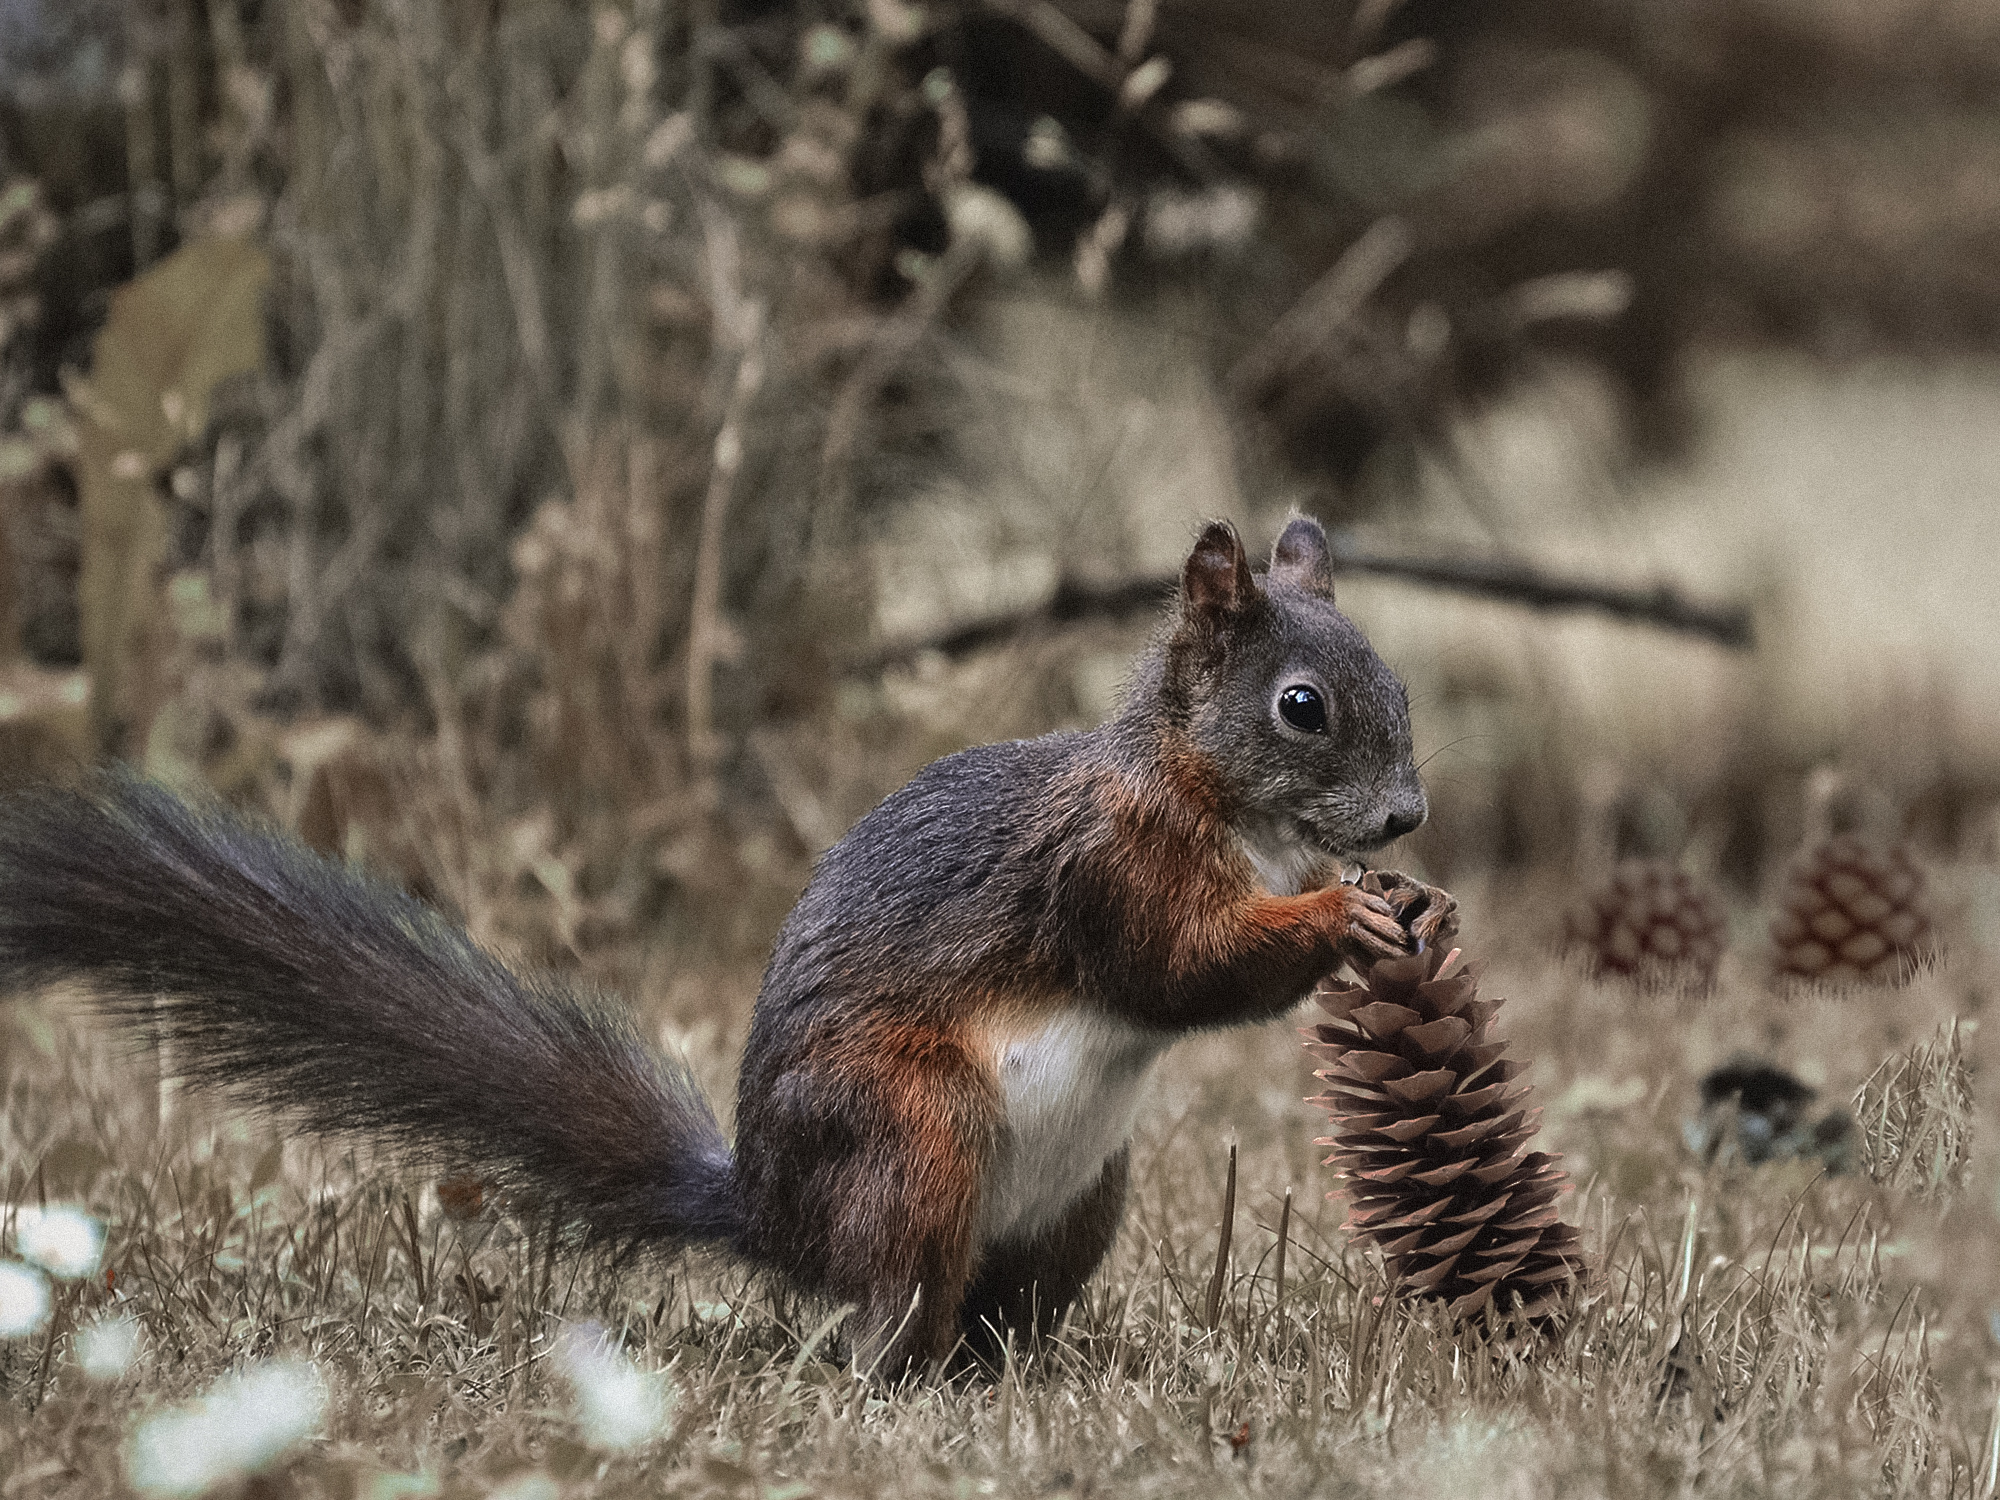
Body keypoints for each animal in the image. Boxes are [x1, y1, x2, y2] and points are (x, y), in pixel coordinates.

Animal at [0, 516, 1454, 1375]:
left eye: (1395, 678)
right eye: (1303, 707)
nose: (1405, 817)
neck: (1225, 813)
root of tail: (768, 1212)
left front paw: (1411, 905)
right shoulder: (1105, 871)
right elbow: (1178, 968)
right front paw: (1339, 917)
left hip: (1081, 1197)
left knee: (997, 1307)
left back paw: (1034, 1371)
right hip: (907, 1133)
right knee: (883, 1311)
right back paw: (913, 1379)